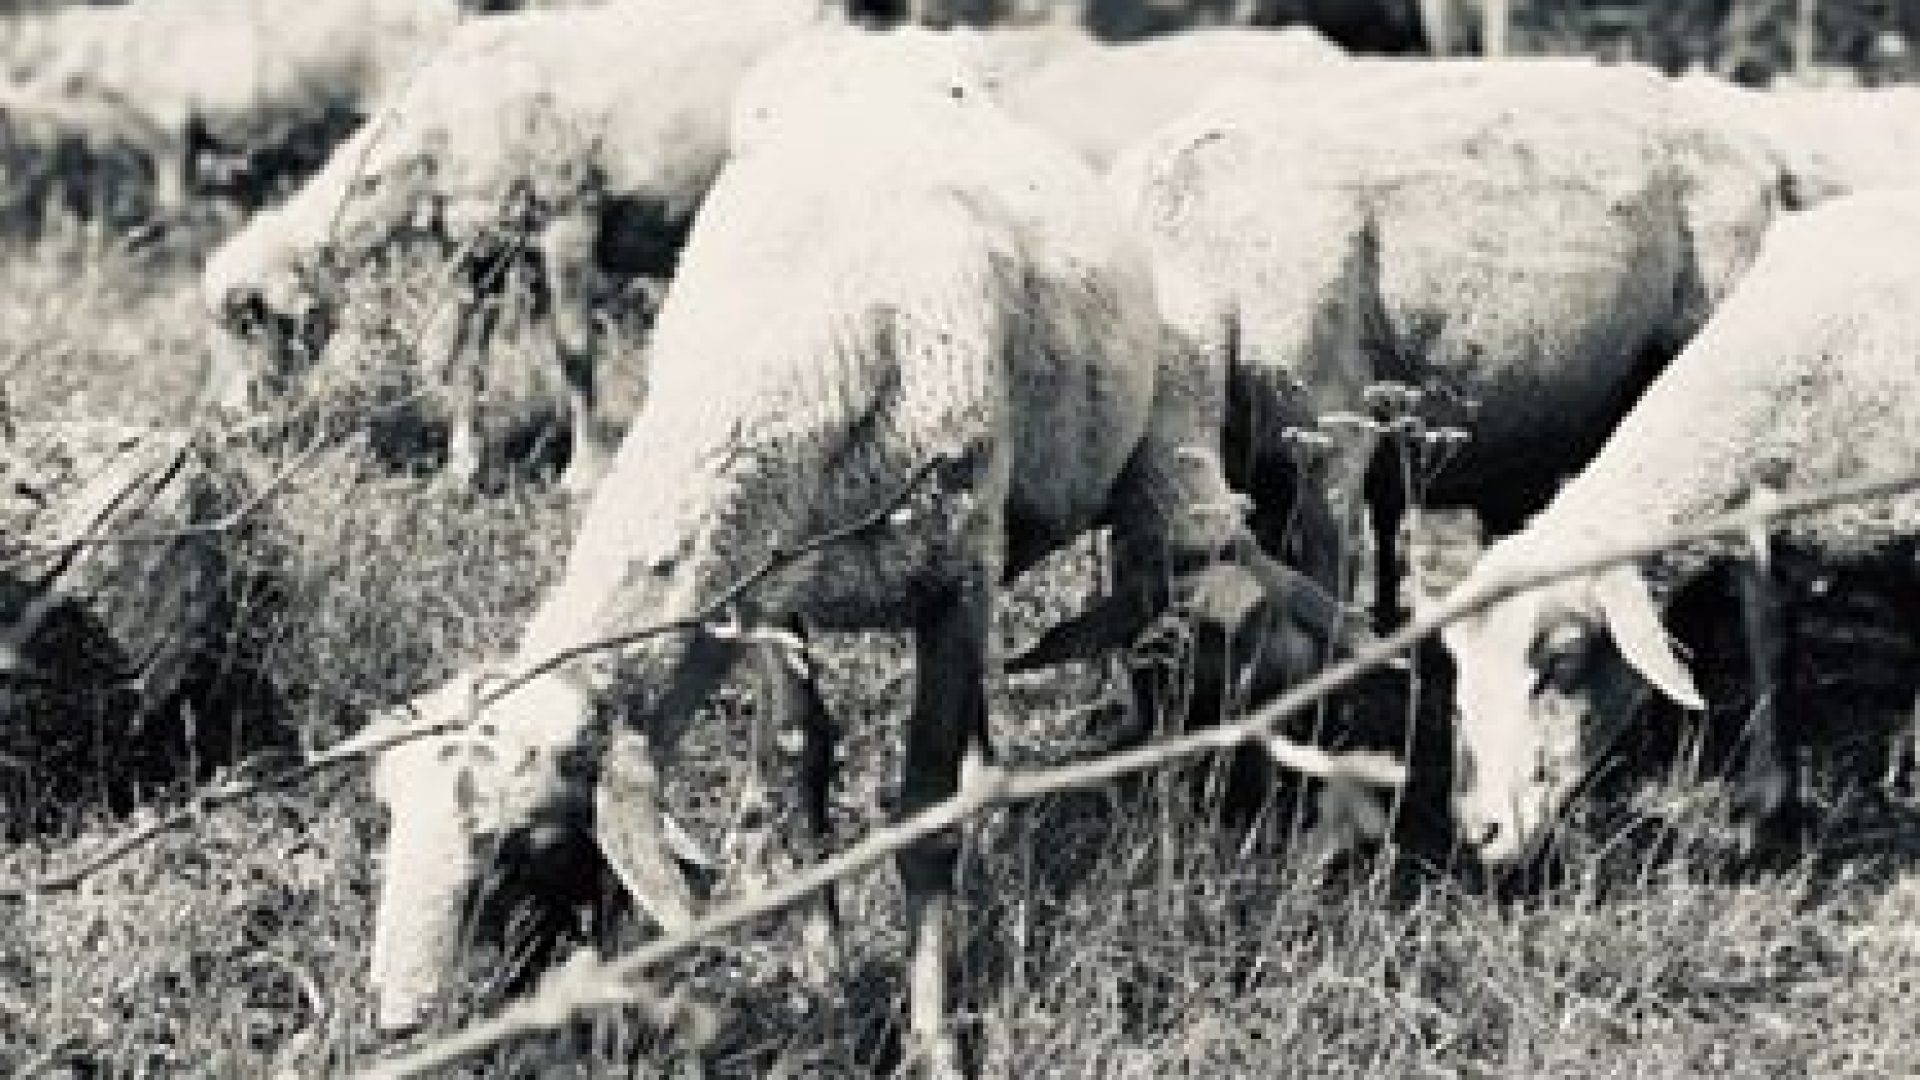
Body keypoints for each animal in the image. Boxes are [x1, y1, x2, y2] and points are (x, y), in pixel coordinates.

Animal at [200, 0, 817, 488]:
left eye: (249, 320)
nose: (231, 424)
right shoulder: (478, 248)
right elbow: (467, 363)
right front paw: (462, 472)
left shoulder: (568, 220)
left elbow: (574, 354)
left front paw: (584, 473)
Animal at [1443, 187, 1920, 864]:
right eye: (1457, 662)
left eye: (1563, 659)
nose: (1480, 833)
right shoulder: (1759, 541)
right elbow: (1769, 651)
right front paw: (1767, 811)